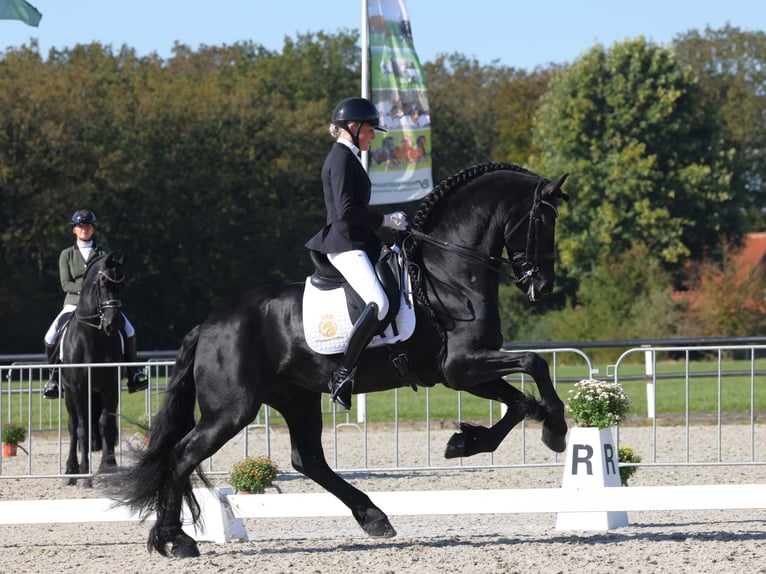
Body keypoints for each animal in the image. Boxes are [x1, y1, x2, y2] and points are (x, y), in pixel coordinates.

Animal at [62, 252, 127, 486]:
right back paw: (71, 471)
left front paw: (109, 467)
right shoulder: (78, 388)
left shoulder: (110, 386)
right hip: (69, 393)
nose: (113, 324)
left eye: (122, 284)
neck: (93, 336)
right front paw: (84, 474)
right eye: (103, 283)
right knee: (73, 426)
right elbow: (82, 429)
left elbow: (105, 424)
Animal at [106, 162, 568, 560]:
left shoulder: (466, 371)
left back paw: (374, 518)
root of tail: (208, 324)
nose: (543, 286)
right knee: (182, 456)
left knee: (307, 459)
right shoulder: (461, 367)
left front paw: (470, 442)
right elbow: (535, 364)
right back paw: (177, 540)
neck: (447, 274)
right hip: (232, 411)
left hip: (296, 398)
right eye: (544, 222)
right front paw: (557, 432)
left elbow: (520, 401)